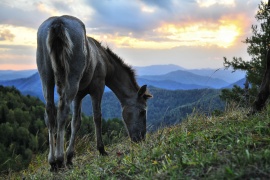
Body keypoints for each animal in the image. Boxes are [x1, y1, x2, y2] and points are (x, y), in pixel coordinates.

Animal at [36, 15, 152, 170]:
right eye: (142, 112)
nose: (141, 138)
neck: (103, 59)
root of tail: (58, 22)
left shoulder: (78, 95)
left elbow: (76, 122)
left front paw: (70, 157)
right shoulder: (97, 87)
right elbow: (97, 117)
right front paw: (101, 150)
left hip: (46, 78)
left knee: (50, 113)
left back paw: (52, 162)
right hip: (71, 80)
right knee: (62, 111)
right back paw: (59, 159)